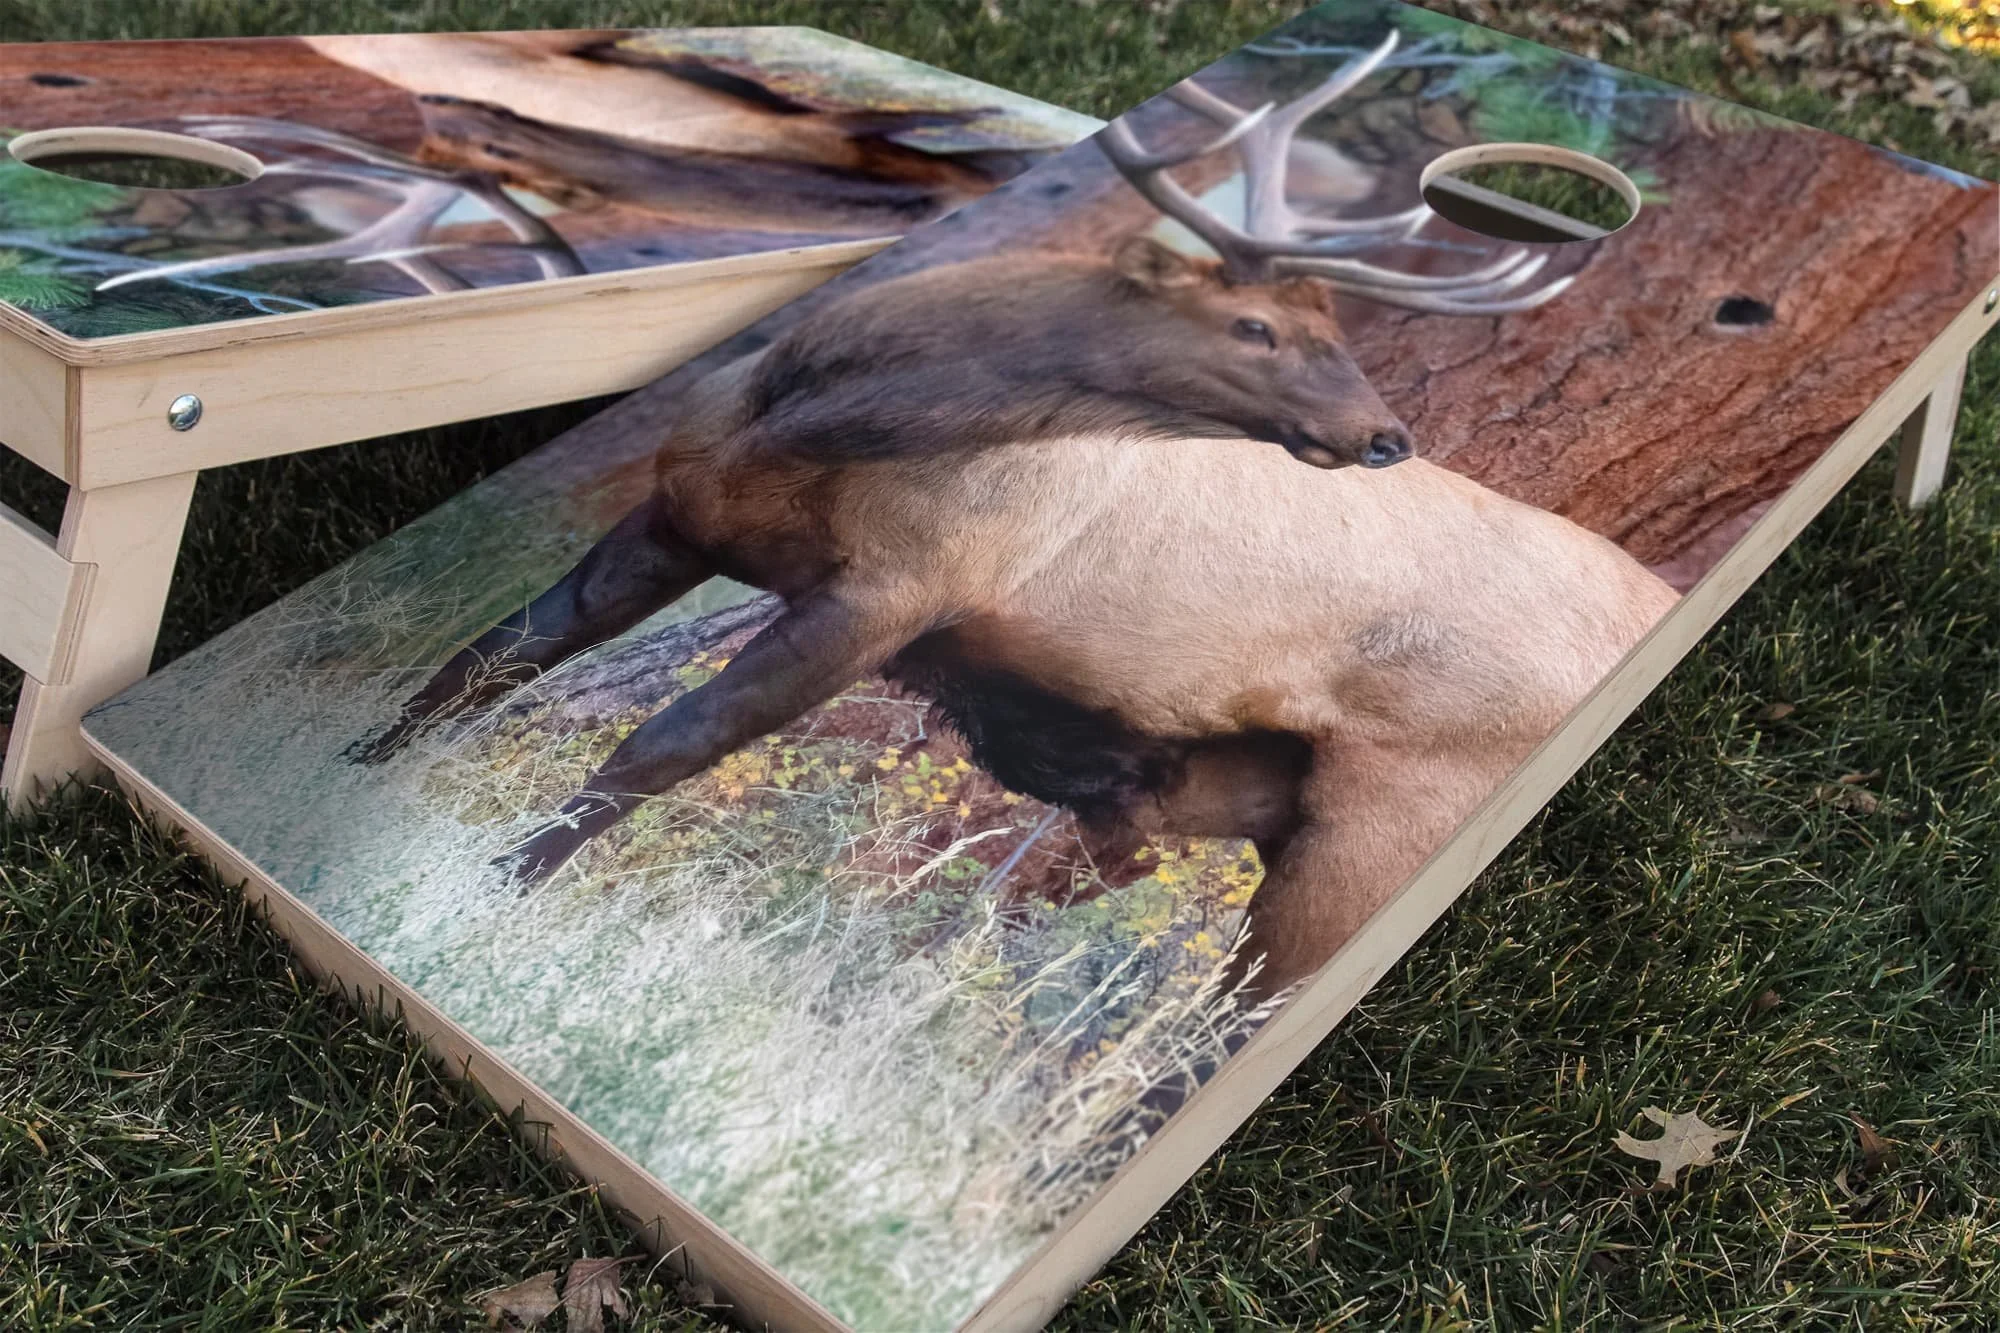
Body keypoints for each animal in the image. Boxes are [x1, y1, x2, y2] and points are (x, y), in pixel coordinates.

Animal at [353, 32, 1679, 1011]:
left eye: (1331, 333)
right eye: (1256, 327)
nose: (1380, 435)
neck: (808, 417)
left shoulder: (894, 592)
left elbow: (666, 743)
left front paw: (499, 886)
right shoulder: (679, 513)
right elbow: (491, 655)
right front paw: (357, 769)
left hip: (1384, 824)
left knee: (1219, 1019)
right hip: (1221, 783)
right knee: (1077, 897)